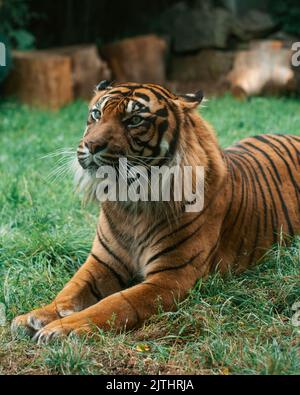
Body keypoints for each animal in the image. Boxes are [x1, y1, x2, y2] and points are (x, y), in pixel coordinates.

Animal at [11, 81, 300, 344]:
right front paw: (34, 317)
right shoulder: (102, 262)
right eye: (96, 113)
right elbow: (69, 291)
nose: (90, 145)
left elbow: (116, 303)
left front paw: (63, 329)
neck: (131, 202)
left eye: (135, 120)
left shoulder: (171, 277)